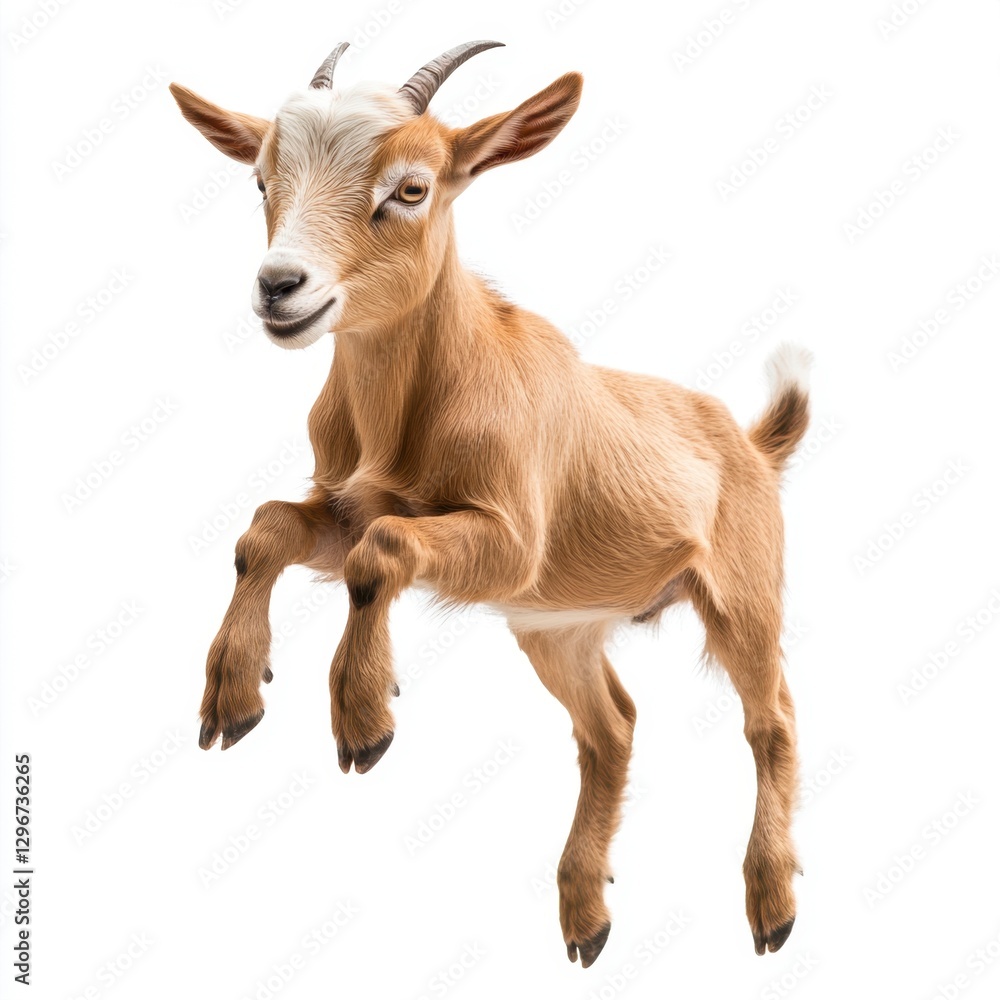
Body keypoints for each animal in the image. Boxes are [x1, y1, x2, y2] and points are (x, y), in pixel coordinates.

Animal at [170, 40, 810, 968]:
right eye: (260, 181)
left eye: (410, 188)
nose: (280, 286)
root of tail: (756, 442)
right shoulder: (347, 504)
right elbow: (270, 527)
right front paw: (233, 696)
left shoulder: (513, 541)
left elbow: (384, 549)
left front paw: (363, 717)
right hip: (557, 627)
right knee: (611, 727)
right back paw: (586, 916)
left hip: (742, 591)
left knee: (771, 722)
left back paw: (771, 906)